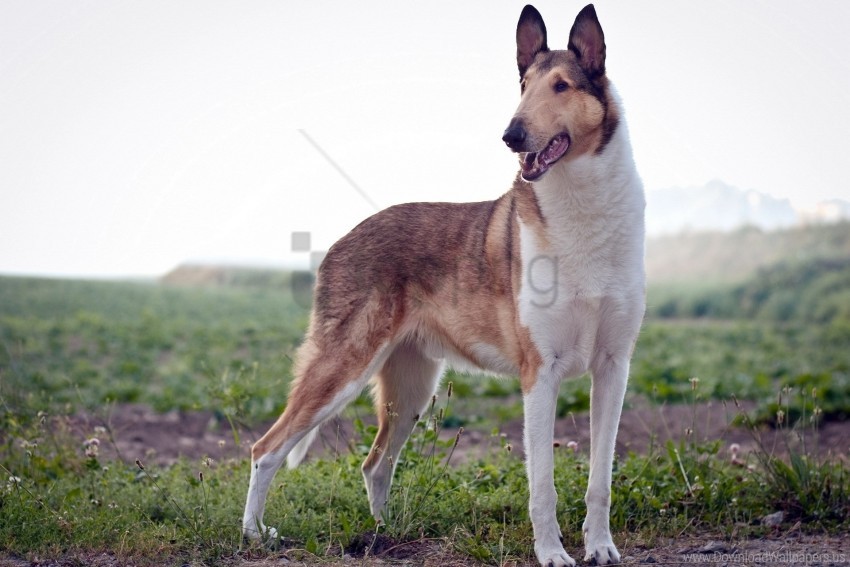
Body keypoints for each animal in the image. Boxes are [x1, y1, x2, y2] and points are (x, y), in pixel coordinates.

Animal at [243, 5, 644, 567]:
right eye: (523, 86)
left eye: (562, 86)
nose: (511, 135)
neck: (581, 210)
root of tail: (340, 241)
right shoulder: (540, 373)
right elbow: (542, 485)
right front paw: (551, 553)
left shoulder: (613, 368)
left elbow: (599, 478)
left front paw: (601, 547)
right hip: (343, 365)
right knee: (267, 448)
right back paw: (256, 534)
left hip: (412, 386)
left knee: (374, 463)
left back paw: (383, 534)